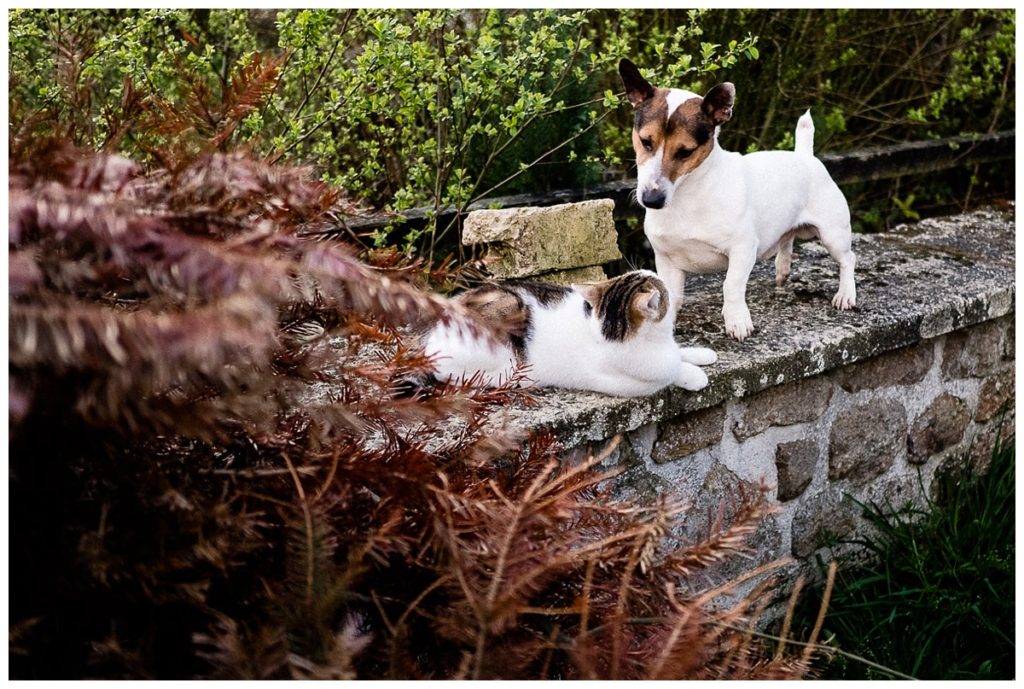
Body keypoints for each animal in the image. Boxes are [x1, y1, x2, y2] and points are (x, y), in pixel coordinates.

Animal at [419, 270, 716, 397]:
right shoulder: (636, 382)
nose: (659, 273)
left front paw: (701, 354)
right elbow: (670, 371)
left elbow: (679, 352)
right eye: (659, 283)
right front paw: (693, 375)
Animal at [618, 58, 851, 337]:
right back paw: (783, 269)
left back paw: (846, 294)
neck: (688, 196)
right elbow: (669, 296)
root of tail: (805, 156)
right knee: (788, 239)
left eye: (685, 152)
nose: (651, 200)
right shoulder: (667, 260)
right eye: (645, 142)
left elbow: (731, 285)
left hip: (833, 233)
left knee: (848, 259)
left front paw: (737, 321)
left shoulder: (743, 249)